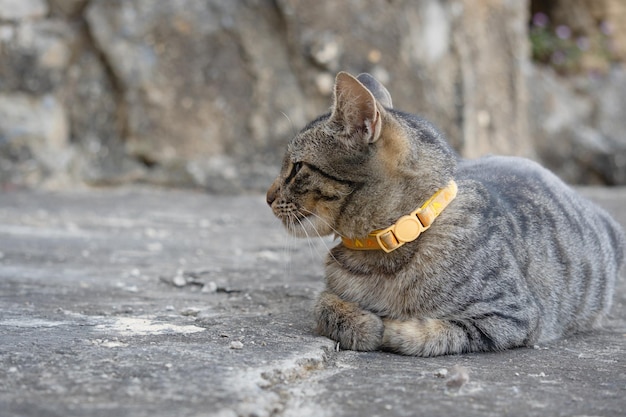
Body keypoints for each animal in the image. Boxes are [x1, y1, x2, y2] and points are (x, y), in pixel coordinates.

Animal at [264, 70, 624, 354]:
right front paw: (363, 324)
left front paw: (389, 327)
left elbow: (434, 332)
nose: (267, 197)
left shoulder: (510, 316)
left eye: (296, 168)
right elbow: (323, 305)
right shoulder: (327, 293)